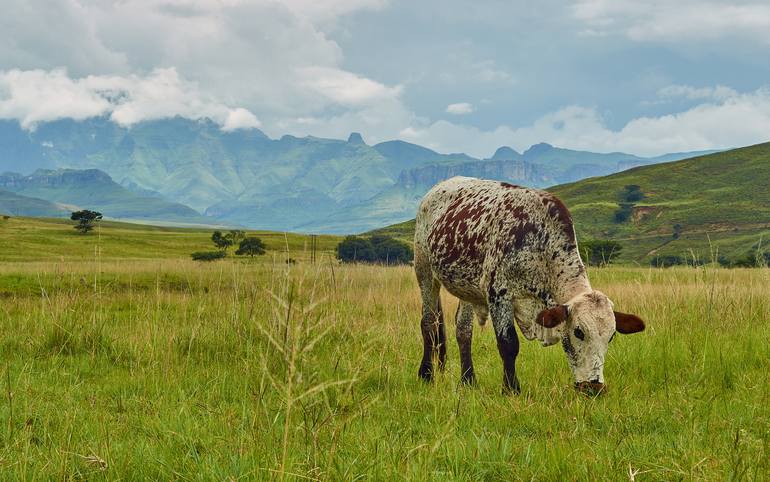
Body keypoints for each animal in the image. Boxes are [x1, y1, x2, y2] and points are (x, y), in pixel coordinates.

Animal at [414, 175, 640, 394]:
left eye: (611, 336)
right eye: (579, 332)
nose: (594, 387)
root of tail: (437, 187)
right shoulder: (499, 295)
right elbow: (508, 344)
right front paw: (511, 389)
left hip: (467, 289)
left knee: (463, 330)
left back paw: (468, 380)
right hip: (424, 270)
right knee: (429, 323)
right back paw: (426, 375)